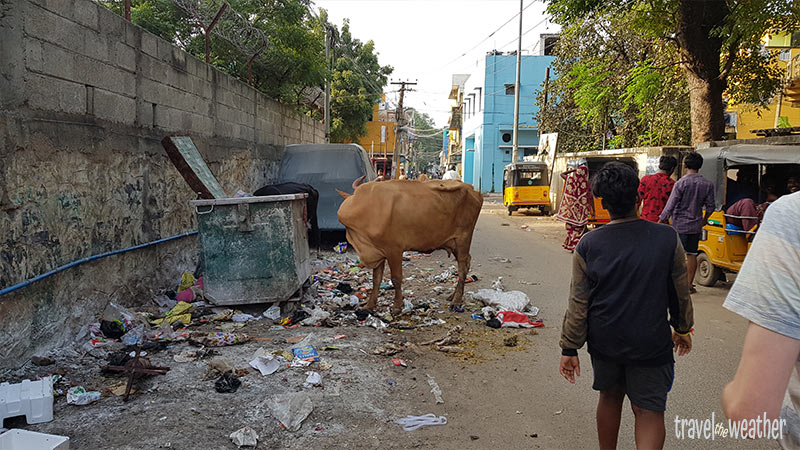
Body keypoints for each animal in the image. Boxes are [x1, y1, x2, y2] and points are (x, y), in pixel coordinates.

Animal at [336, 178, 482, 312]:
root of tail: (472, 189)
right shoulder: (377, 251)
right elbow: (376, 280)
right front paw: (370, 305)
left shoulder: (394, 250)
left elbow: (396, 278)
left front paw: (397, 306)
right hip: (454, 243)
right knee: (467, 263)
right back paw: (453, 295)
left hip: (463, 239)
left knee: (462, 268)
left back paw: (456, 301)